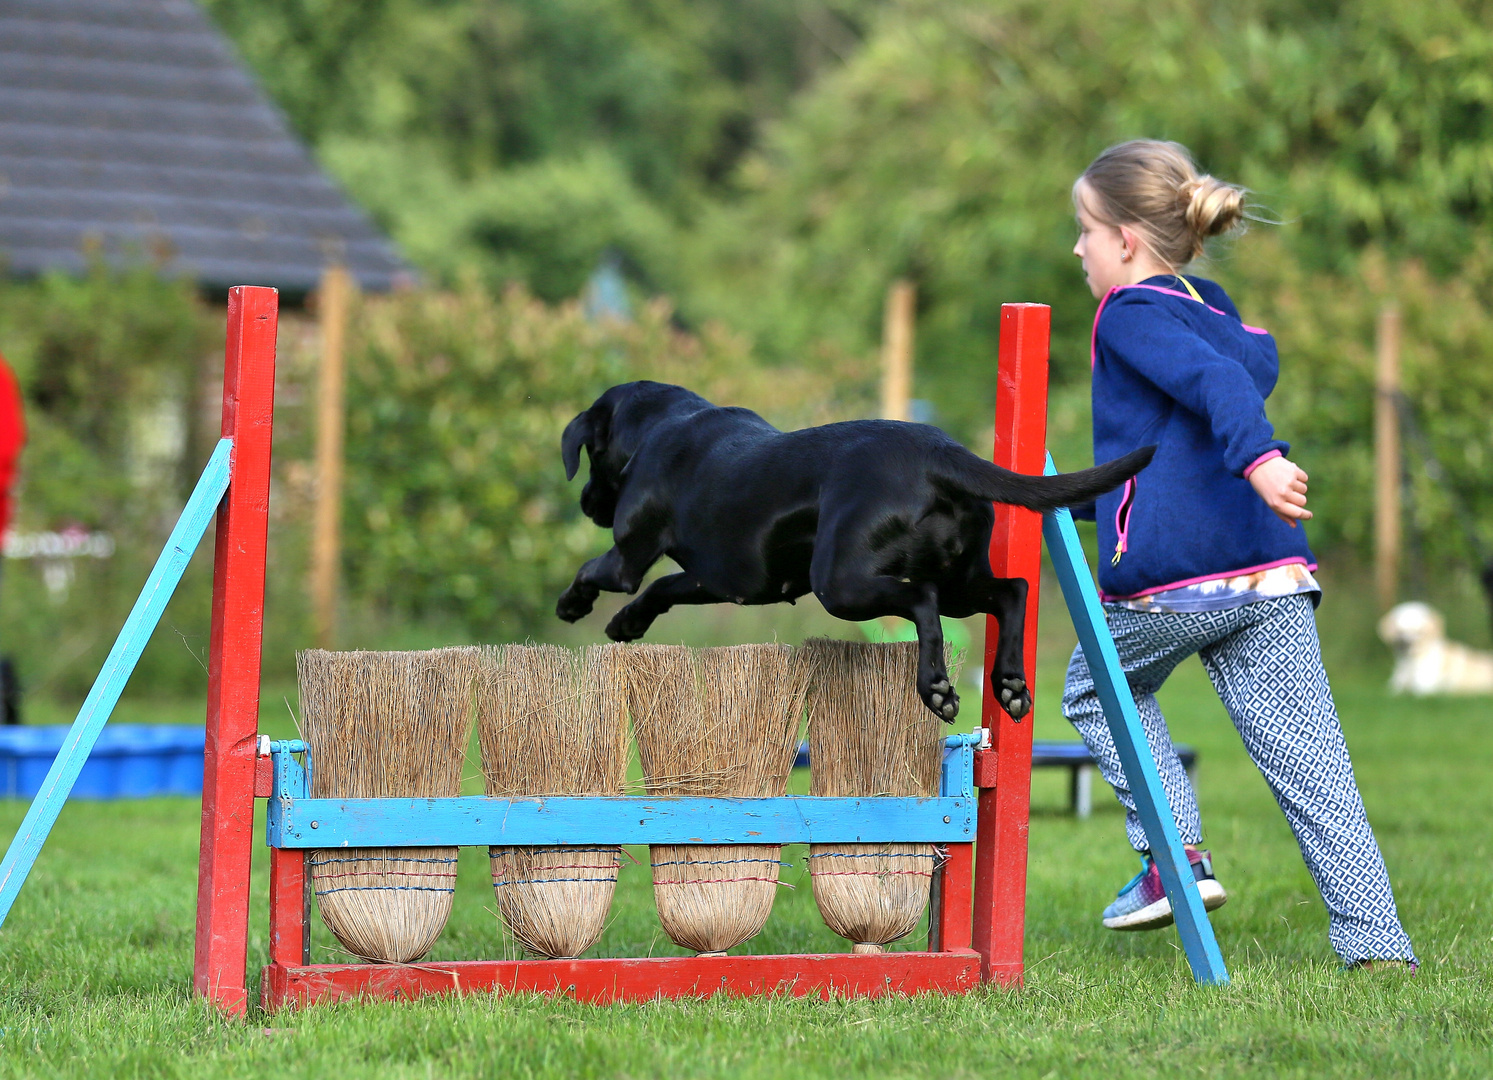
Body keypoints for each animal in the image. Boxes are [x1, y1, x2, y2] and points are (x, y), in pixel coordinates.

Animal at [561, 385, 1152, 722]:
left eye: (589, 453)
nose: (586, 502)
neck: (663, 424)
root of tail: (940, 451)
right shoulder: (721, 580)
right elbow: (662, 588)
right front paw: (627, 624)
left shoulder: (628, 558)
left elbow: (597, 569)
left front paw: (573, 604)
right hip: (959, 579)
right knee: (1011, 590)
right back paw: (1008, 685)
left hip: (842, 583)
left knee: (923, 604)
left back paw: (937, 689)